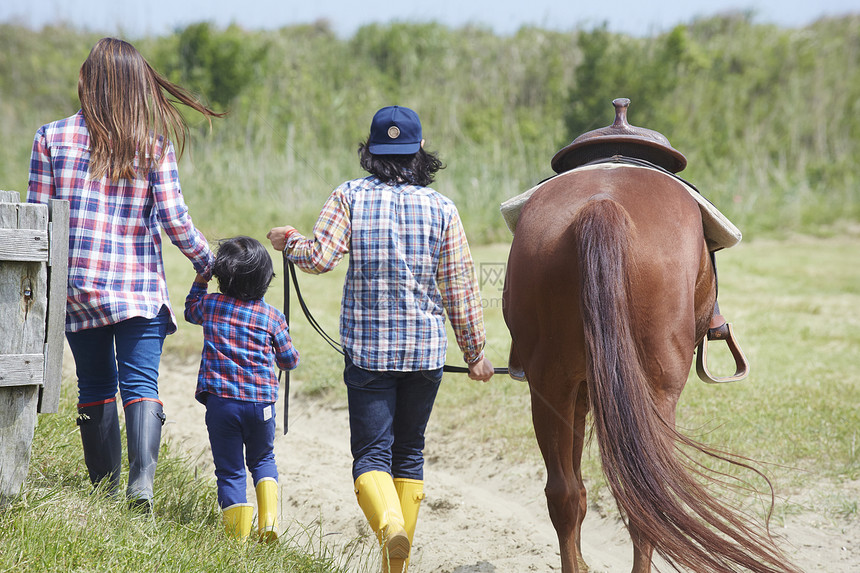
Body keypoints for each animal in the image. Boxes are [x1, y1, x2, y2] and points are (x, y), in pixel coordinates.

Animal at [504, 162, 800, 572]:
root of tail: (602, 206)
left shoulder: (576, 389)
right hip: (656, 391)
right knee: (647, 502)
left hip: (551, 385)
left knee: (565, 494)